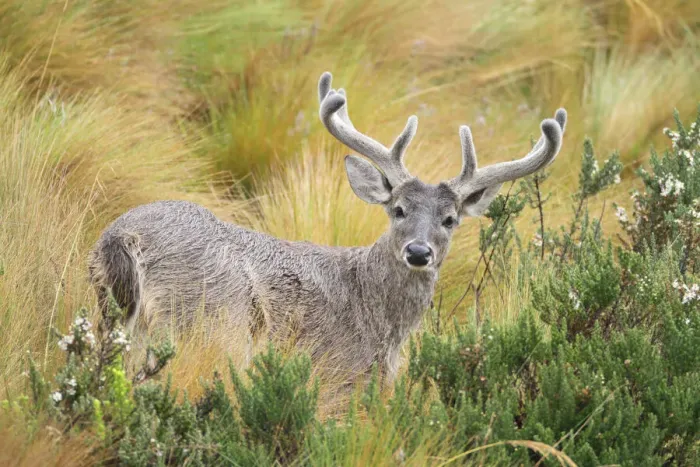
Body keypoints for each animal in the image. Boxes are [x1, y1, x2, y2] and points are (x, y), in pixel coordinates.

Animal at [88, 71, 567, 385]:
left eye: (450, 219)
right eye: (397, 209)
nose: (418, 252)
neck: (381, 323)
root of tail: (123, 237)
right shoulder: (341, 374)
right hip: (206, 323)